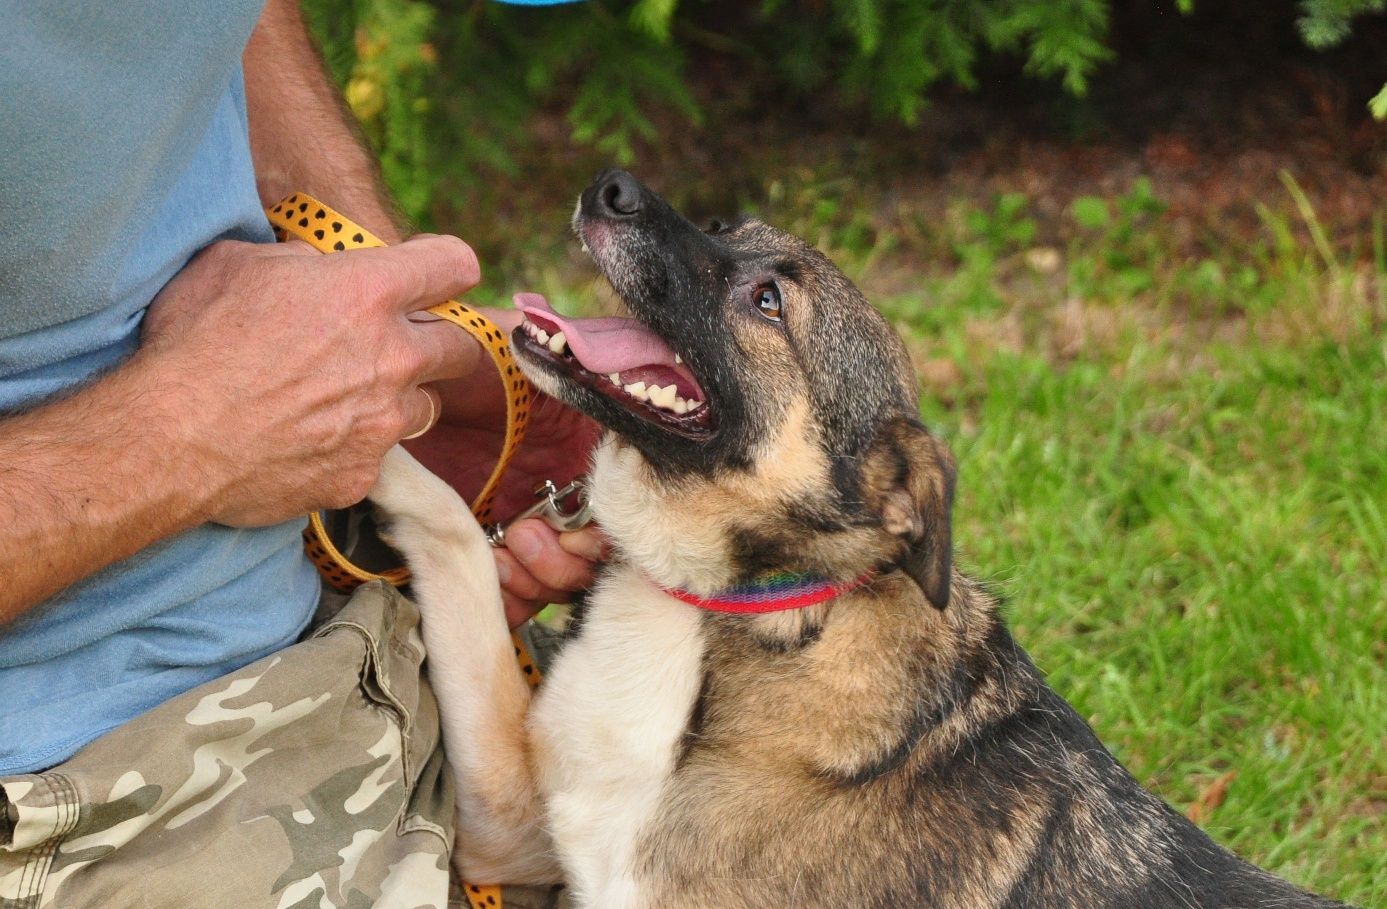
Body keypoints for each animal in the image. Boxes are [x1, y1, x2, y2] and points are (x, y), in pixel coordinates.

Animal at [368, 172, 1353, 909]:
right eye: (723, 228)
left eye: (767, 300)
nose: (611, 184)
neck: (724, 602)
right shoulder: (508, 832)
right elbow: (454, 537)